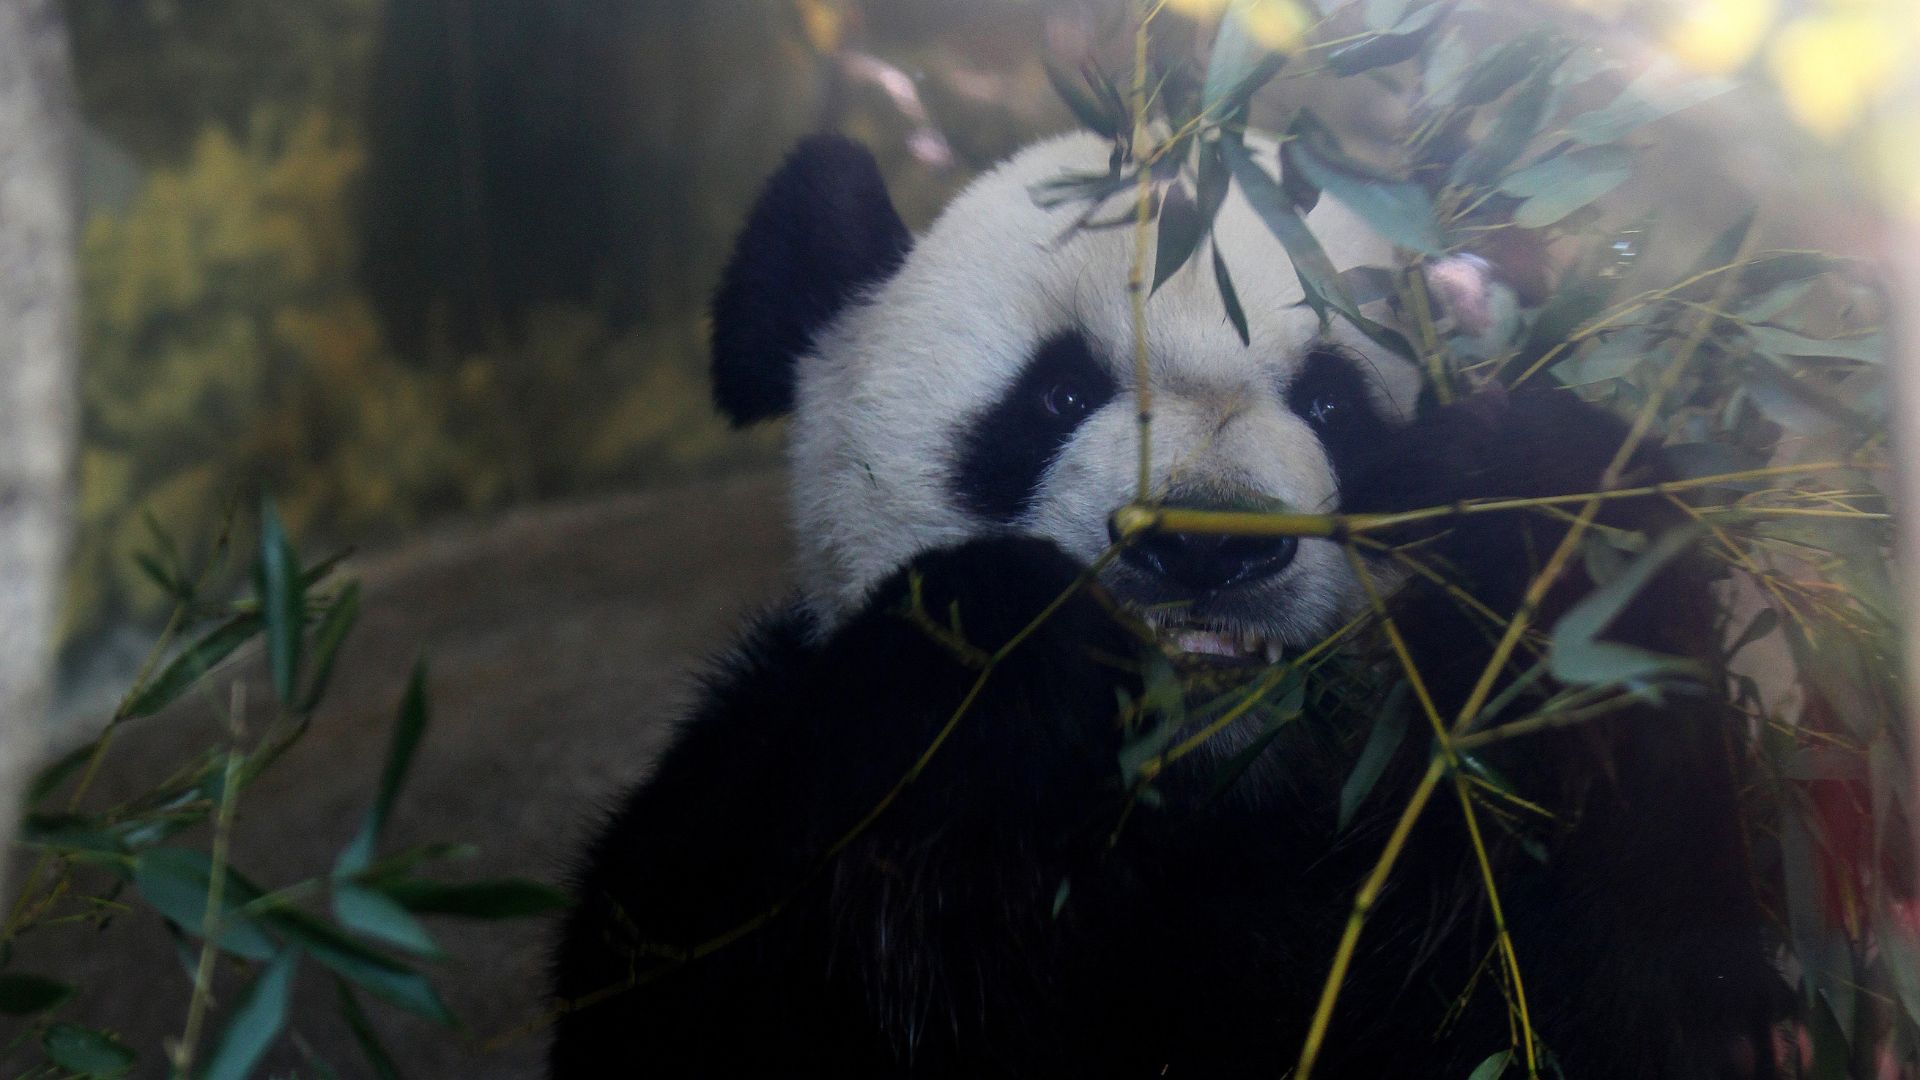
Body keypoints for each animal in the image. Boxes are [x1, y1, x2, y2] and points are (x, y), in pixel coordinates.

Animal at [549, 130, 1774, 1068]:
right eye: (1058, 393)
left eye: (1332, 404)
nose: (1204, 550)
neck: (1204, 806)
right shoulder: (775, 774)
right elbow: (697, 957)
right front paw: (1000, 638)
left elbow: (1647, 967)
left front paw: (1532, 519)